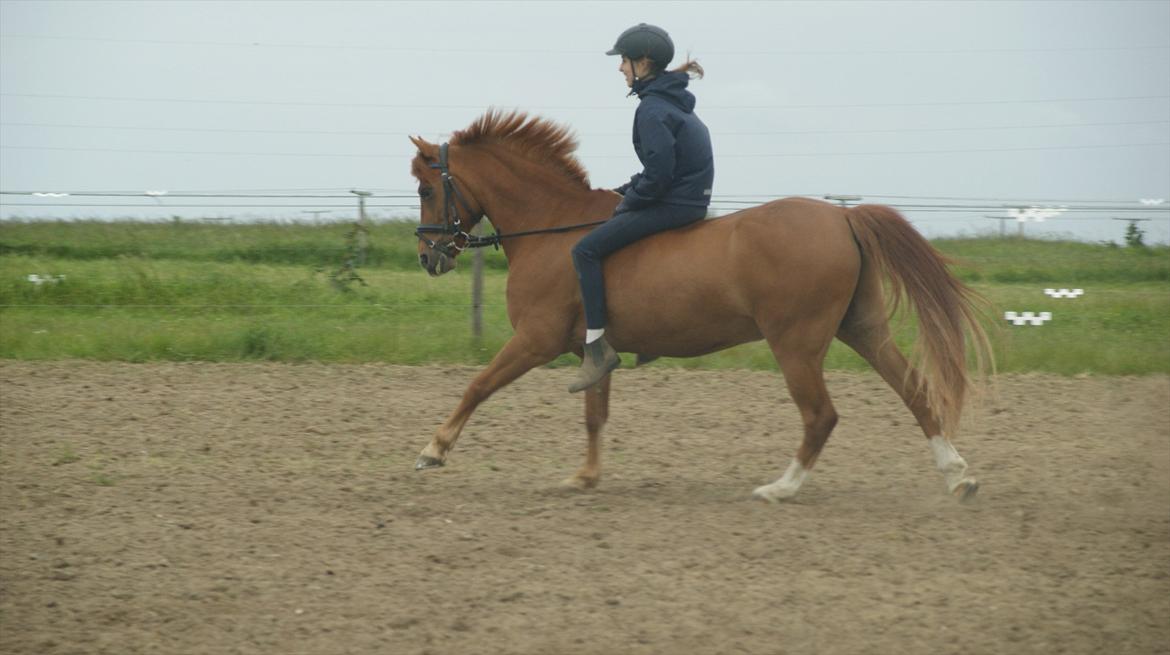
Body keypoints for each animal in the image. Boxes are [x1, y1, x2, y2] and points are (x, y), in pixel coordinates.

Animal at [407, 109, 992, 502]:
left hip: (796, 344)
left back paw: (780, 488)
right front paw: (585, 477)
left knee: (821, 415)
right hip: (862, 328)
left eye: (426, 189)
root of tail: (842, 216)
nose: (428, 257)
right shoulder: (588, 351)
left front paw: (433, 450)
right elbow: (594, 413)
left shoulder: (536, 340)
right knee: (914, 390)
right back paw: (958, 475)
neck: (552, 226)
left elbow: (478, 385)